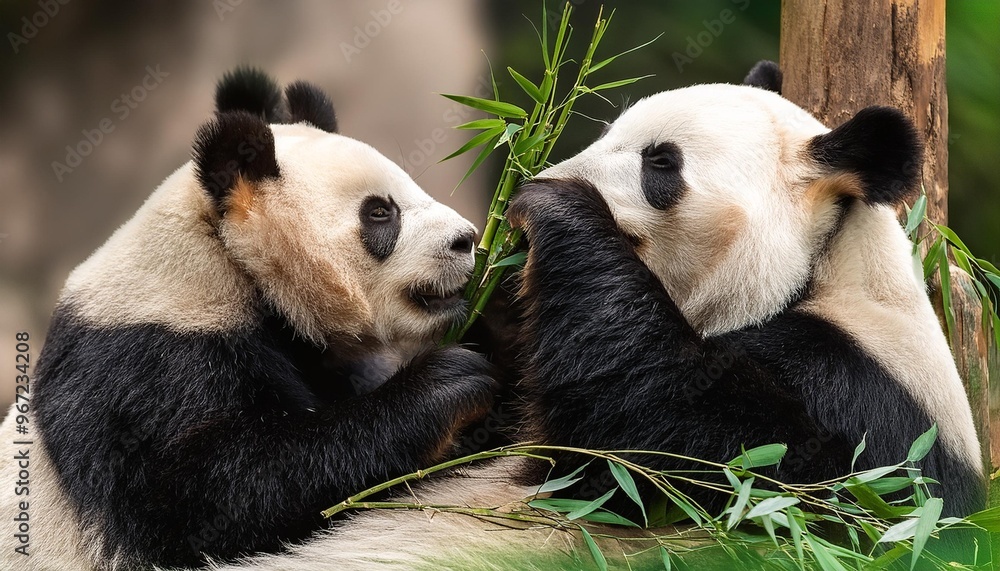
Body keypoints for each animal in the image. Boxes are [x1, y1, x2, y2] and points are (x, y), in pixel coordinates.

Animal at [0, 67, 498, 570]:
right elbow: (211, 501)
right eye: (380, 212)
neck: (231, 257)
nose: (466, 239)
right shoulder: (148, 366)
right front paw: (446, 383)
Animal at [204, 61, 985, 571]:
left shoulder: (860, 415)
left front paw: (555, 209)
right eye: (609, 131)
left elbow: (686, 446)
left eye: (660, 163)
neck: (816, 272)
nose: (539, 175)